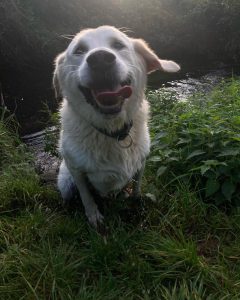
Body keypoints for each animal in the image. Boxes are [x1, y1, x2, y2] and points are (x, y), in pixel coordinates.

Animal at [52, 25, 180, 227]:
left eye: (118, 45)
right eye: (79, 50)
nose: (100, 59)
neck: (114, 131)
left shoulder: (141, 162)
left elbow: (137, 186)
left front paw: (136, 202)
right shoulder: (77, 171)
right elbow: (86, 196)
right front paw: (93, 216)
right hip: (65, 182)